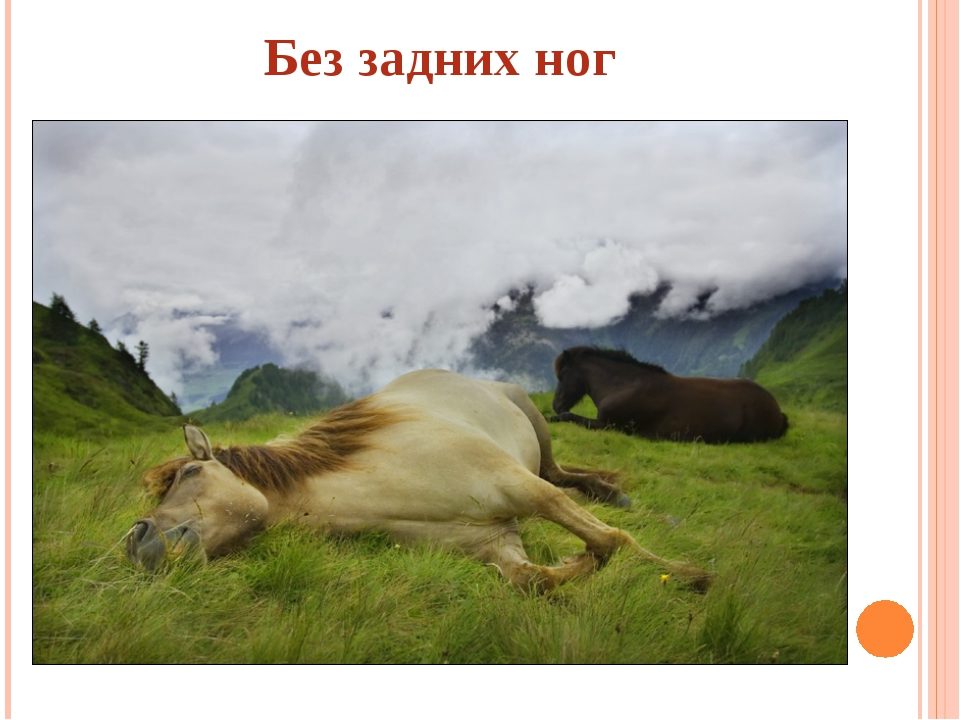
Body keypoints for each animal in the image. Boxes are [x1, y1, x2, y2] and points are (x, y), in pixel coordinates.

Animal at [125, 369, 711, 592]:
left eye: (193, 471)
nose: (137, 538)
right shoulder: (497, 544)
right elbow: (537, 578)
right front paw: (572, 560)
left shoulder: (521, 488)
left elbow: (614, 541)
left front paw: (691, 575)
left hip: (539, 439)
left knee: (562, 476)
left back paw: (619, 496)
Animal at [551, 347, 788, 443]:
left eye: (562, 375)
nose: (556, 404)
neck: (625, 385)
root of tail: (777, 410)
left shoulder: (610, 425)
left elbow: (568, 417)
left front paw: (554, 416)